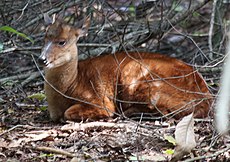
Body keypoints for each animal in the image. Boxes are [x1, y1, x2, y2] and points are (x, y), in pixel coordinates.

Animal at [38, 14, 212, 122]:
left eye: (62, 42)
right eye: (44, 38)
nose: (42, 59)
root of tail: (205, 100)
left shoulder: (99, 100)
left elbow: (70, 113)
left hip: (138, 78)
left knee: (164, 112)